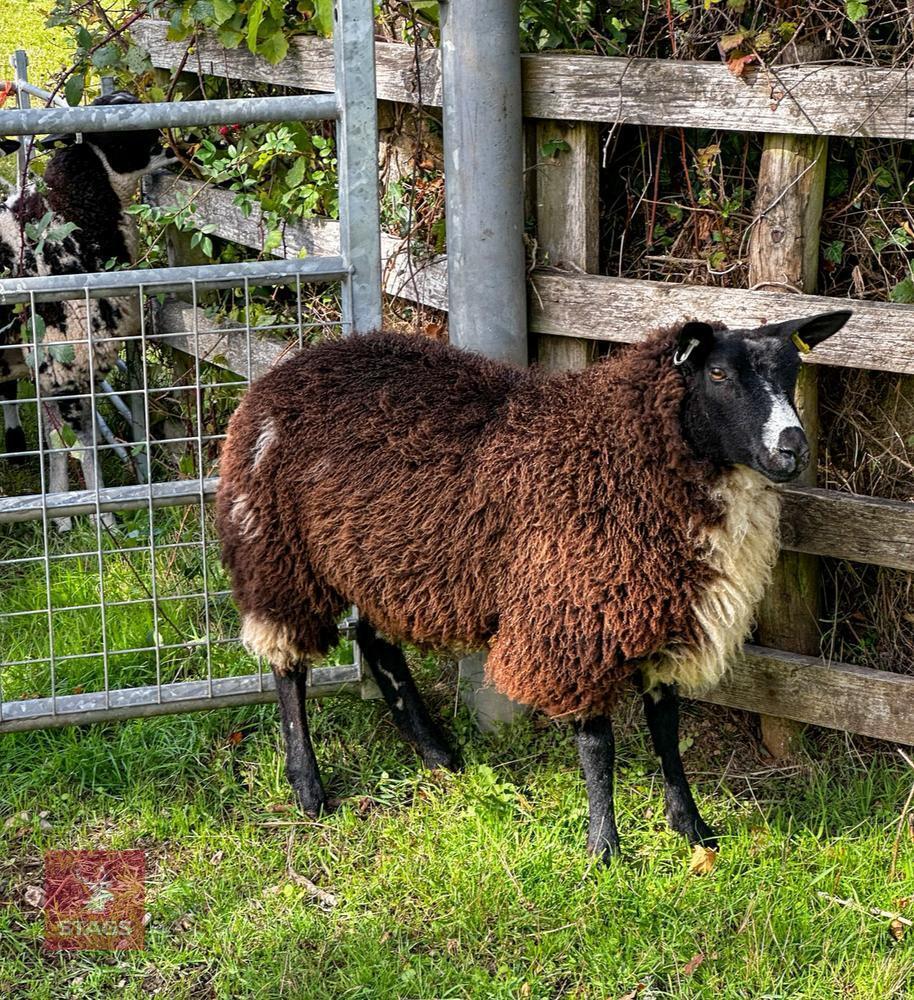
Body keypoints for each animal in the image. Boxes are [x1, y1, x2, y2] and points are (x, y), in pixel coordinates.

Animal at [0, 92, 174, 527]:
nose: (172, 147)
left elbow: (56, 443)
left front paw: (60, 512)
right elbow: (85, 443)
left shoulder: (51, 370)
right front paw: (102, 516)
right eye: (122, 128)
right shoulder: (65, 361)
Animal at [216, 310, 851, 860]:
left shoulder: (662, 617)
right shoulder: (576, 620)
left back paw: (438, 754)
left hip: (380, 560)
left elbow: (666, 731)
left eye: (792, 371)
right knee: (288, 663)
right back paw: (308, 786)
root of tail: (295, 363)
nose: (793, 448)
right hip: (276, 548)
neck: (626, 453)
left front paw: (692, 829)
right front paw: (604, 848)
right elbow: (598, 746)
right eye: (718, 374)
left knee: (376, 642)